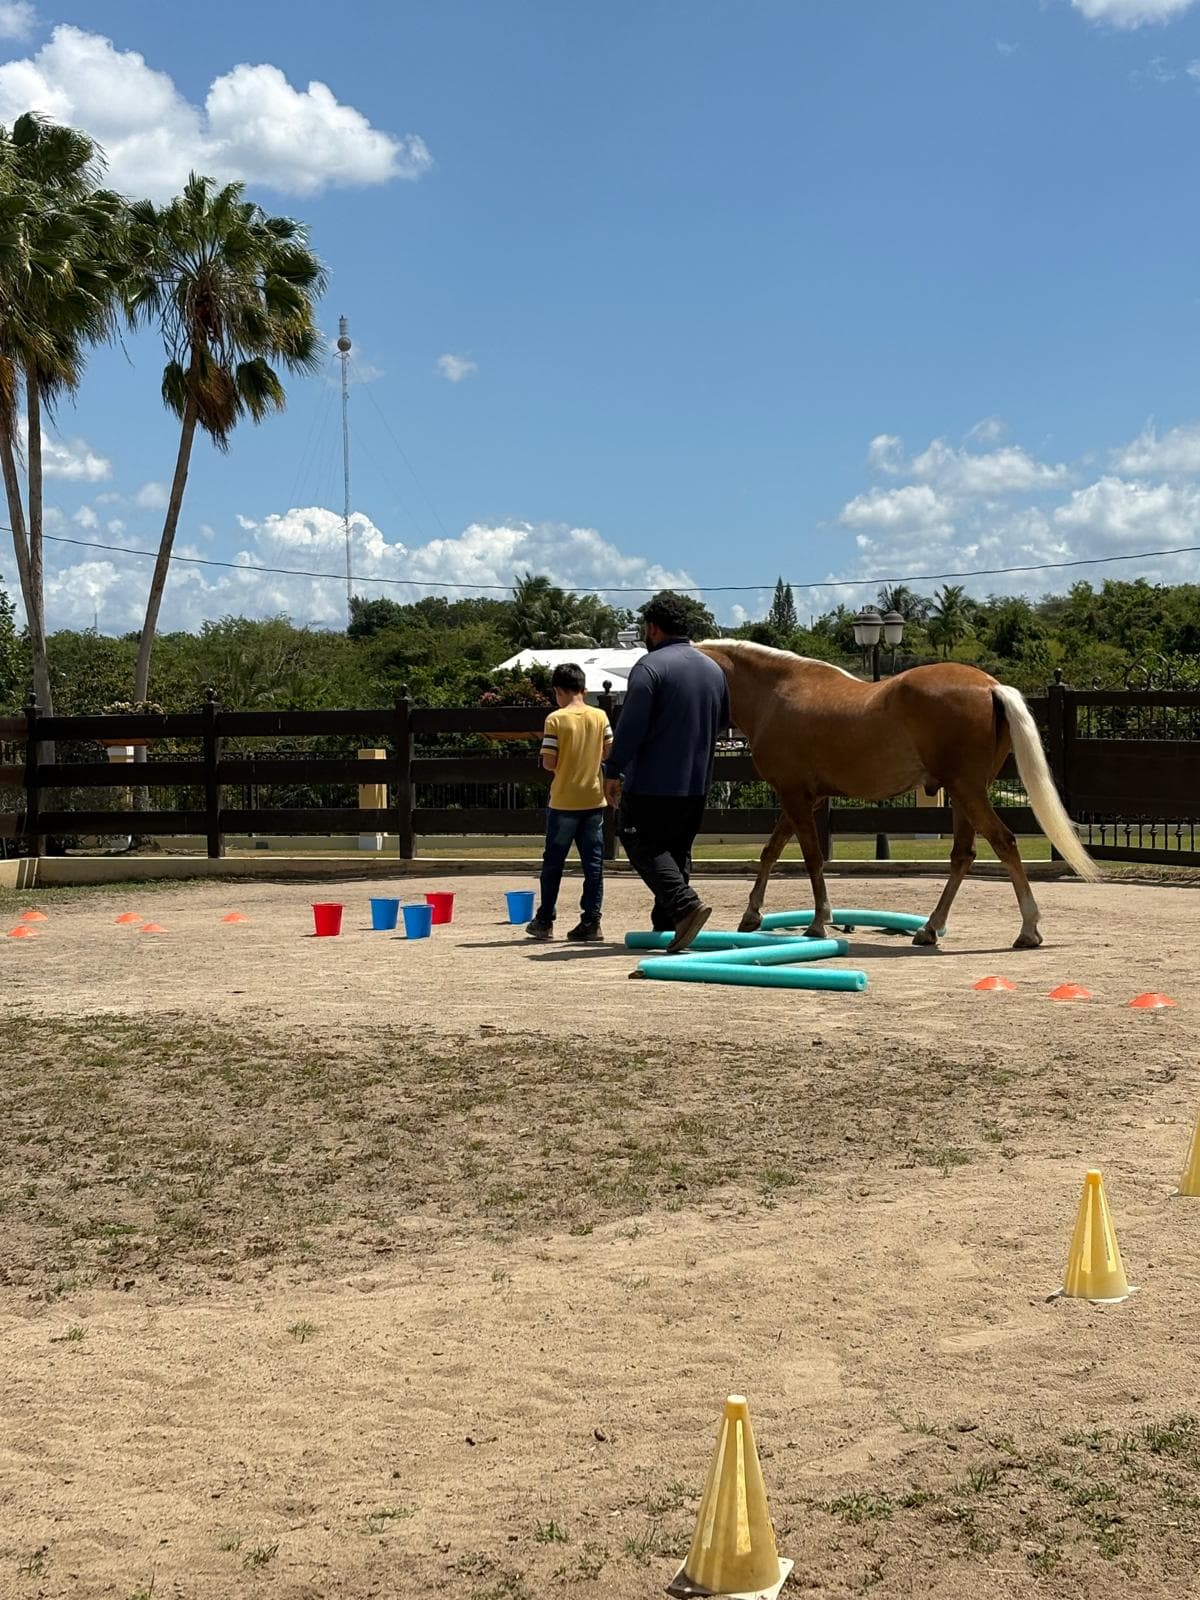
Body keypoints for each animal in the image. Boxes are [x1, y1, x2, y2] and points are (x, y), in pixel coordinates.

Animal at [696, 641, 1099, 948]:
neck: (777, 693)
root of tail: (989, 686)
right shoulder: (803, 797)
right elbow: (771, 851)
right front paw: (751, 914)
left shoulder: (794, 795)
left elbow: (810, 858)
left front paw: (818, 922)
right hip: (964, 795)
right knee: (963, 855)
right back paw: (930, 929)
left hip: (967, 791)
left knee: (1004, 842)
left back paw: (1028, 930)